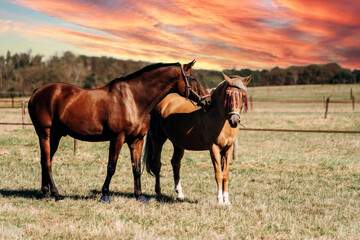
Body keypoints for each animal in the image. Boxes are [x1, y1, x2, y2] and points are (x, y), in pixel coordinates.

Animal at [28, 61, 208, 203]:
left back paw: (46, 192)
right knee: (47, 162)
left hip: (55, 135)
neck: (133, 100)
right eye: (192, 78)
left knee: (45, 160)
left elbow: (136, 168)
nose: (206, 100)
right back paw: (56, 194)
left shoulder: (137, 140)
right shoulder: (117, 138)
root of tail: (37, 91)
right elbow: (111, 167)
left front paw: (140, 196)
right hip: (44, 133)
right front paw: (105, 195)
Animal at [143, 72, 250, 204]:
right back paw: (158, 193)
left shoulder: (228, 149)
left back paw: (180, 194)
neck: (217, 116)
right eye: (228, 96)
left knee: (175, 163)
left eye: (242, 96)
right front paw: (220, 201)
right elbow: (218, 174)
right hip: (158, 140)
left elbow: (225, 174)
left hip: (178, 144)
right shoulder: (214, 148)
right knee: (157, 164)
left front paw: (227, 201)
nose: (234, 121)